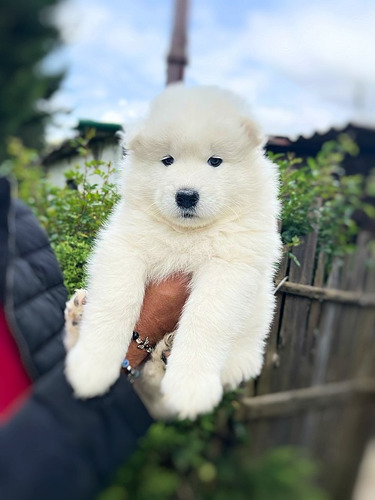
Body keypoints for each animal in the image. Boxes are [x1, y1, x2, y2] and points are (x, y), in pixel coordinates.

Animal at [65, 85, 282, 418]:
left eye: (215, 161)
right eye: (167, 160)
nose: (186, 196)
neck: (186, 235)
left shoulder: (229, 267)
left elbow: (206, 318)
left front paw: (190, 387)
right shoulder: (124, 247)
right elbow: (116, 302)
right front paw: (92, 366)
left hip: (244, 347)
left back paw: (165, 355)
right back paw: (78, 318)